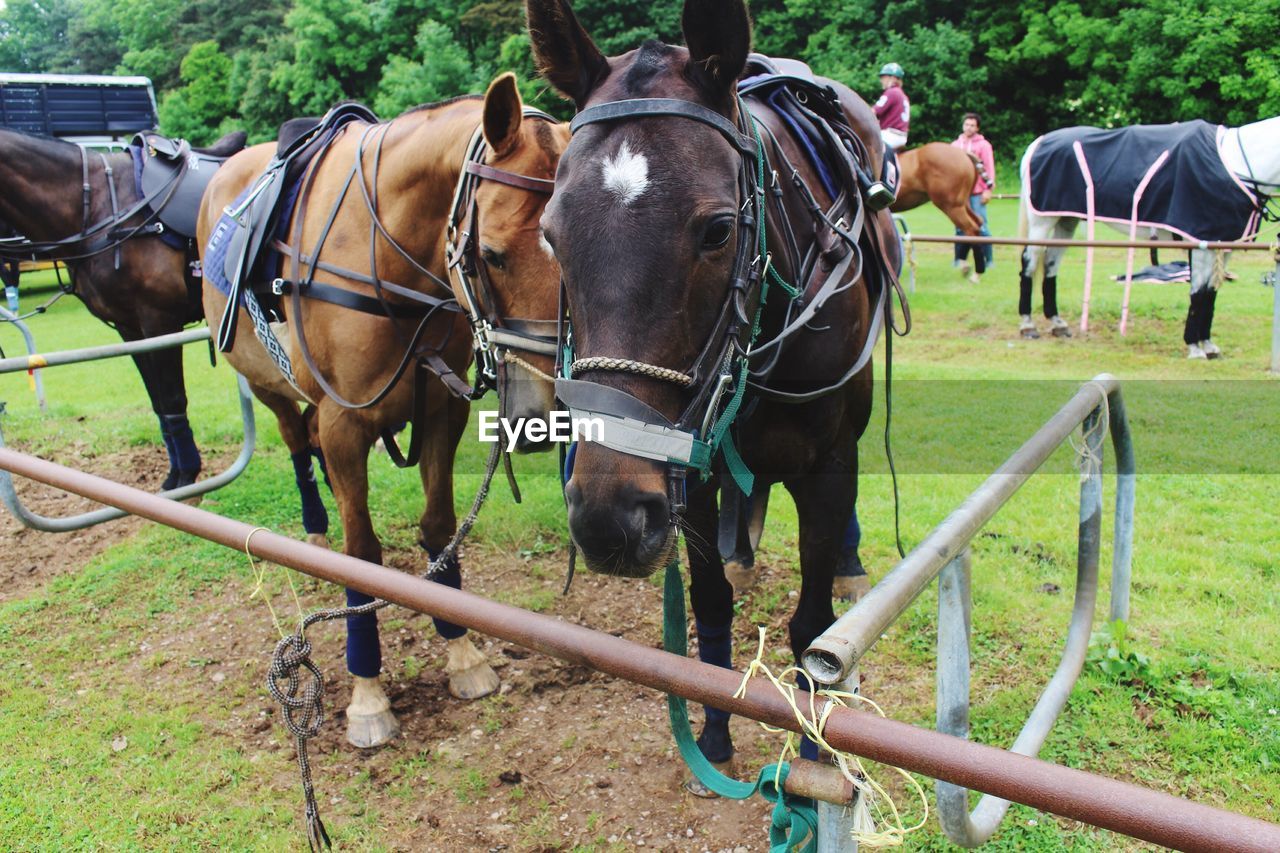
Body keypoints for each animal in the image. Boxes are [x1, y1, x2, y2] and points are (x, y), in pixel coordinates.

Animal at [0, 125, 244, 484]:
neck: (98, 209)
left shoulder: (159, 322)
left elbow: (172, 396)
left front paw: (187, 474)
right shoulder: (129, 328)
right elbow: (158, 400)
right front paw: (176, 473)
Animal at [195, 76, 565, 747]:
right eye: (493, 254)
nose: (542, 411)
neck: (391, 265)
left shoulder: (441, 410)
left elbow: (439, 527)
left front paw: (462, 653)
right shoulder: (345, 426)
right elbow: (362, 554)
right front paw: (367, 693)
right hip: (266, 386)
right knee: (298, 443)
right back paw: (315, 536)